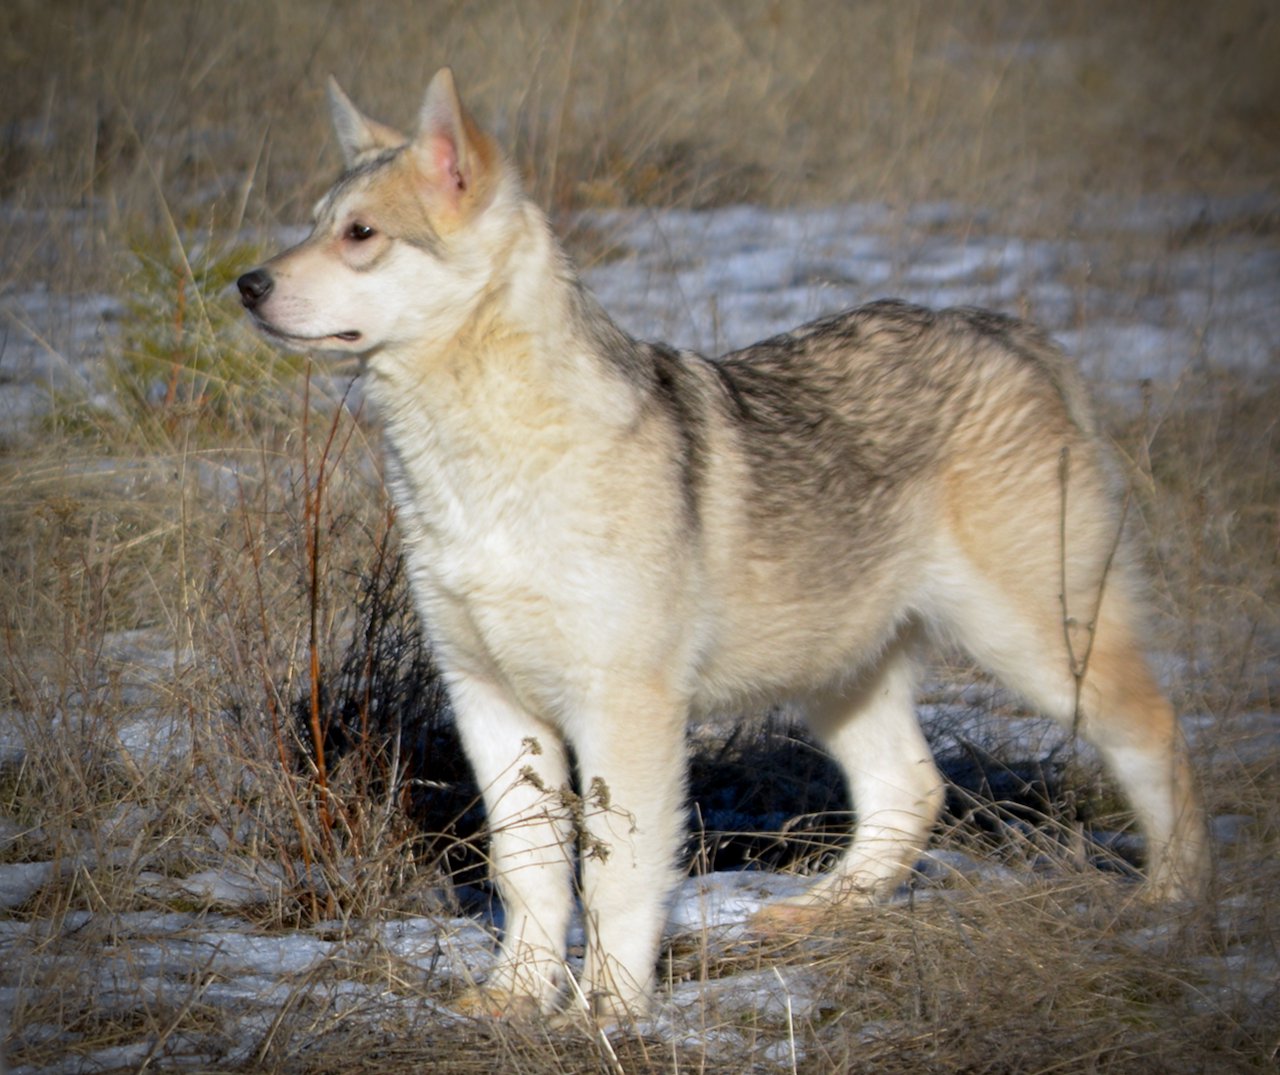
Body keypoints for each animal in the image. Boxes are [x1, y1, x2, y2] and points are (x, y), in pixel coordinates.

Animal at [240, 69, 1208, 1023]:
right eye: (314, 222)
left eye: (360, 233)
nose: (247, 282)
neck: (476, 466)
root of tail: (1012, 334)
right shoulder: (488, 699)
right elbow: (529, 872)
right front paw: (514, 997)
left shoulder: (627, 710)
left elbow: (618, 876)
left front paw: (609, 1010)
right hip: (841, 673)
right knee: (912, 788)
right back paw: (812, 915)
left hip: (1039, 648)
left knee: (1156, 732)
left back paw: (1172, 899)